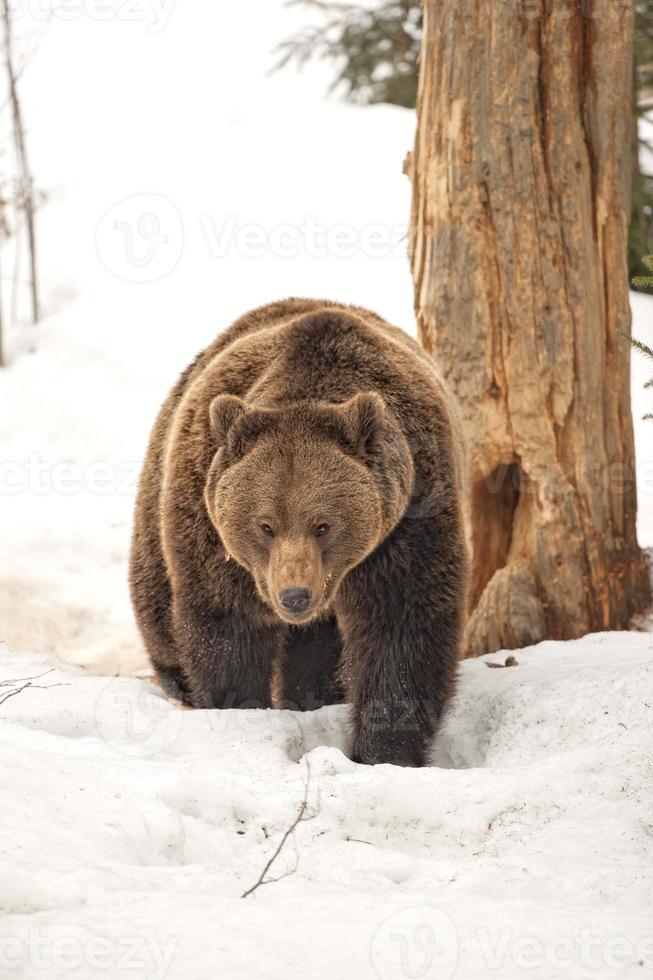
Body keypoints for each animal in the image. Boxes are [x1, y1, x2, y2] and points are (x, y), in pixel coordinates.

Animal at [131, 298, 468, 764]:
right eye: (265, 525)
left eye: (323, 525)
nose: (294, 596)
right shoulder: (211, 529)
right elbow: (226, 626)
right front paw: (237, 710)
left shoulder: (410, 519)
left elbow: (402, 628)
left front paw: (384, 751)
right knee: (156, 598)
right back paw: (176, 681)